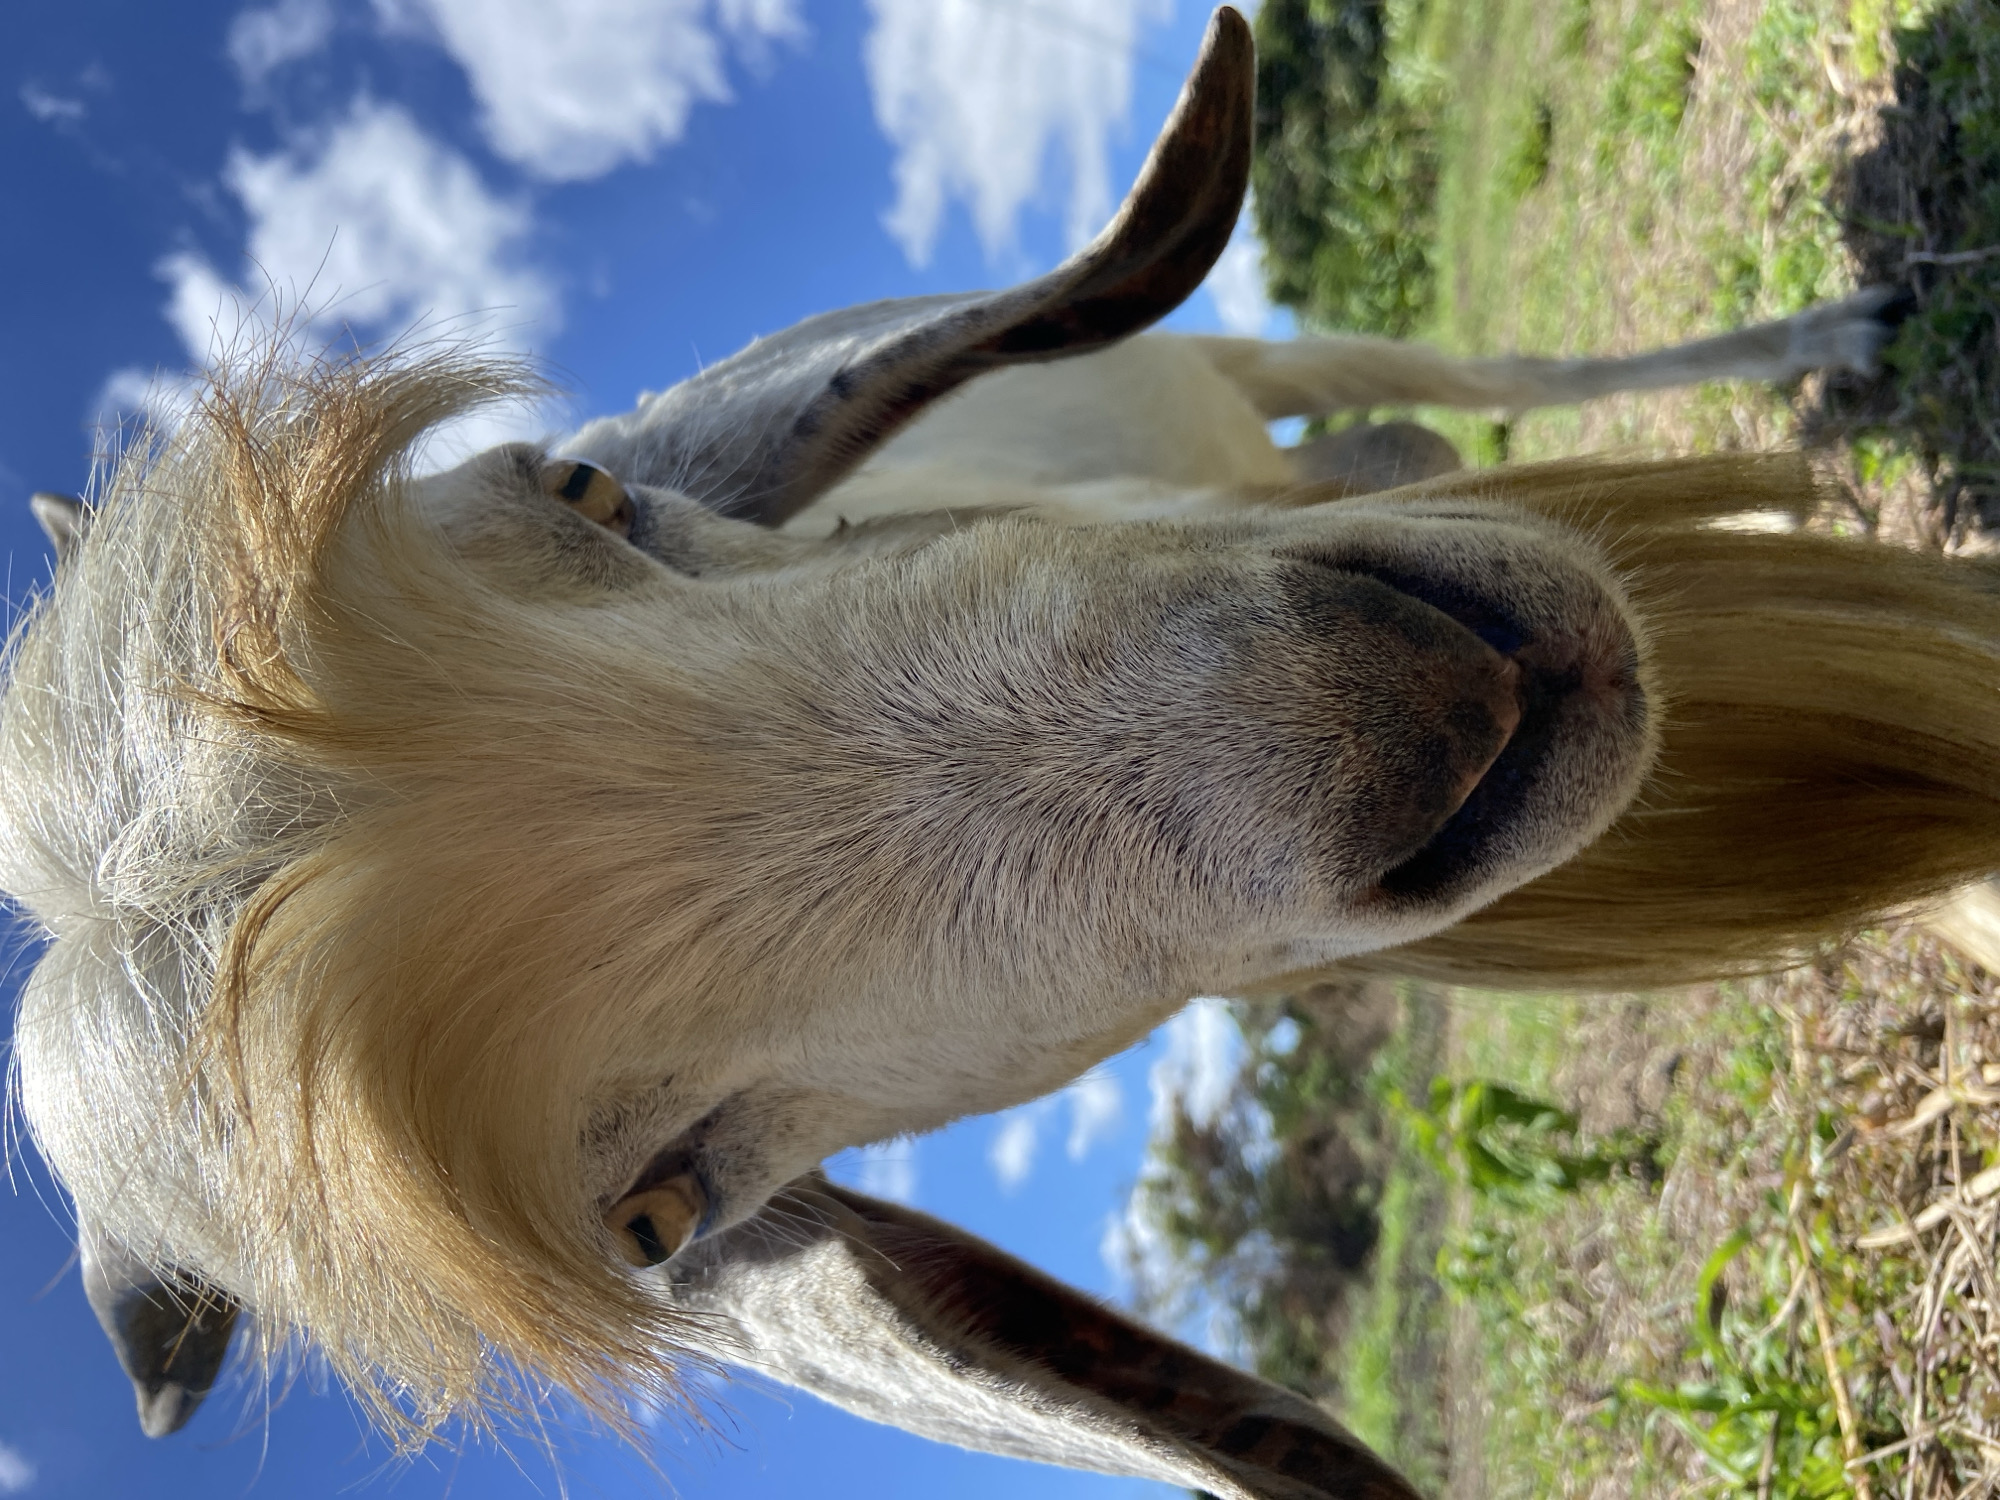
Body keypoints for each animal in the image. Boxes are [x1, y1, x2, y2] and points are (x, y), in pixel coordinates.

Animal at [8, 11, 1998, 1498]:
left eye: (579, 487)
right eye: (654, 1214)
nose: (1430, 707)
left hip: (1239, 363)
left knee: (1480, 378)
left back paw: (1831, 328)